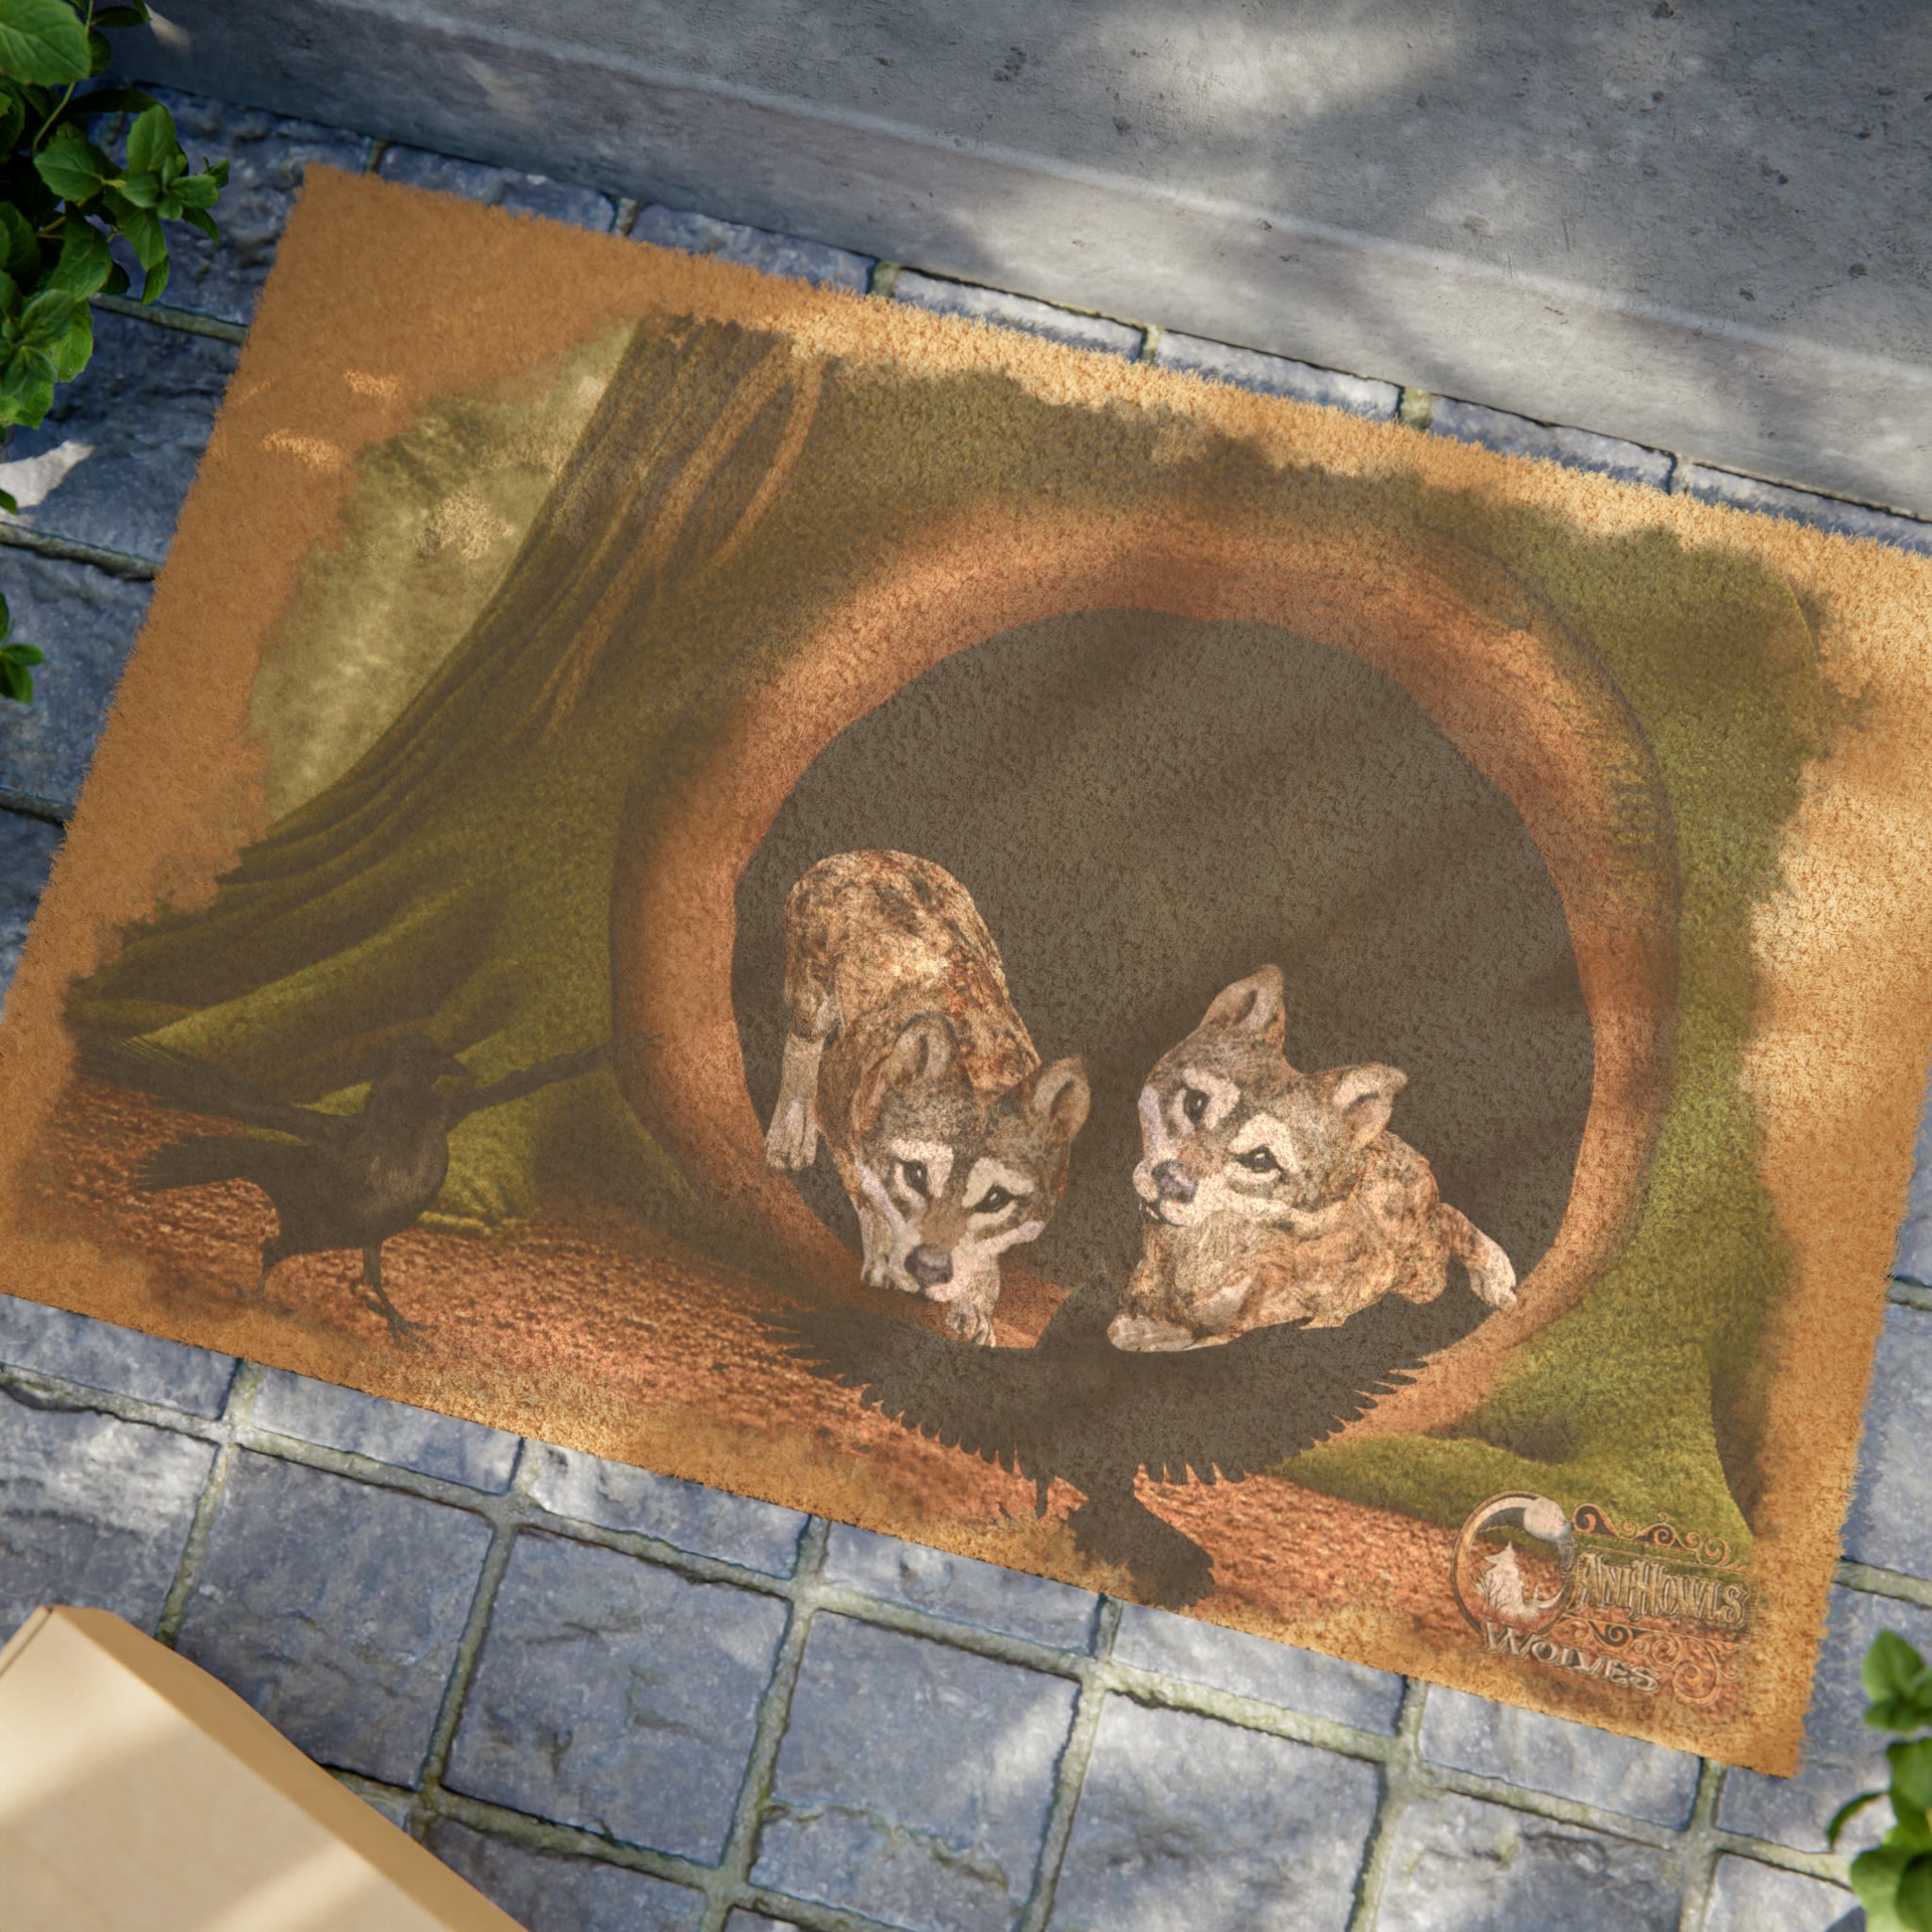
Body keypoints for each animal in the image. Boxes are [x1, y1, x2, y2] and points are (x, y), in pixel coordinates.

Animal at [764, 850, 1090, 1345]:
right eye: (915, 1174)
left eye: (996, 1198)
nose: (930, 1269)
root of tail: (858, 854)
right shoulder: (837, 1103)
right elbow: (869, 1193)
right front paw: (884, 1256)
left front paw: (974, 1304)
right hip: (810, 983)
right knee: (802, 1040)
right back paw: (789, 1135)